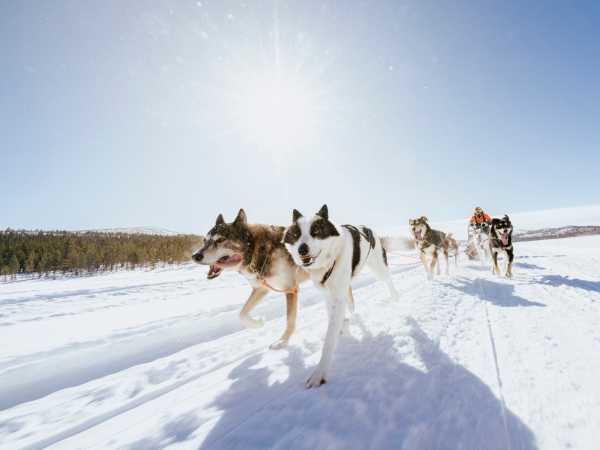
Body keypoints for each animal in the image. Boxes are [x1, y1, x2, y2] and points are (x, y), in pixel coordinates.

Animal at [193, 209, 310, 350]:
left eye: (220, 239)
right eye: (204, 241)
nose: (195, 256)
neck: (258, 251)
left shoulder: (290, 288)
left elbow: (289, 320)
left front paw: (282, 341)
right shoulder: (261, 288)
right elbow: (241, 313)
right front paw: (258, 323)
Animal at [282, 204, 404, 386]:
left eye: (316, 230)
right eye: (296, 234)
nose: (301, 249)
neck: (329, 260)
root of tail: (367, 228)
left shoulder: (339, 297)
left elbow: (329, 339)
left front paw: (319, 373)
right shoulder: (329, 294)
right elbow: (333, 316)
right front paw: (342, 326)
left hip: (379, 269)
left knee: (388, 280)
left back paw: (396, 298)